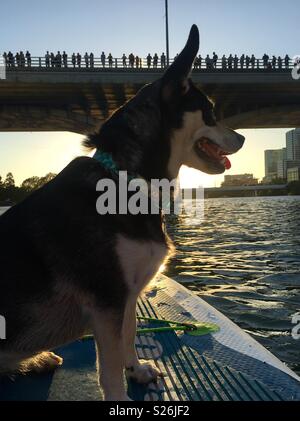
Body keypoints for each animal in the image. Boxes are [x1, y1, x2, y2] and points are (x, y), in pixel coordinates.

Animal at [0, 24, 244, 398]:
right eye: (211, 113)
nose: (244, 138)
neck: (127, 180)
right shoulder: (108, 301)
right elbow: (109, 368)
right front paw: (119, 395)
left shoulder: (127, 297)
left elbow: (129, 337)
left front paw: (137, 369)